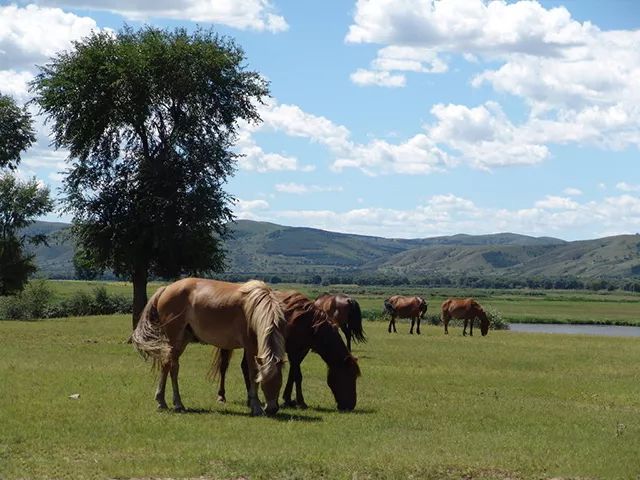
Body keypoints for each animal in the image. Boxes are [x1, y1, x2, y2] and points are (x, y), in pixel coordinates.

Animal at [131, 278, 286, 416]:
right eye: (264, 383)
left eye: (280, 383)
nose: (272, 409)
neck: (255, 308)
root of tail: (166, 289)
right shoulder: (250, 347)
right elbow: (252, 372)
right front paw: (256, 407)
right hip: (174, 339)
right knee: (172, 367)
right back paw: (176, 404)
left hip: (181, 341)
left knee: (168, 366)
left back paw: (164, 402)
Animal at [212, 290, 360, 410]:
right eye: (349, 376)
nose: (351, 405)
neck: (309, 323)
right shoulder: (293, 351)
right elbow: (298, 375)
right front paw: (300, 402)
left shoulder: (301, 351)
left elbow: (293, 374)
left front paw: (288, 399)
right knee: (224, 367)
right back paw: (222, 396)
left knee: (245, 366)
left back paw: (251, 399)